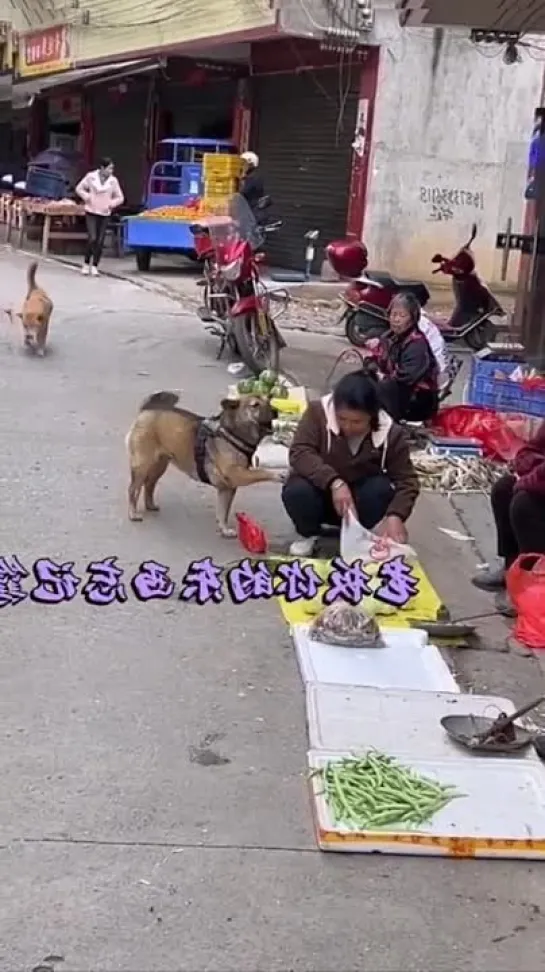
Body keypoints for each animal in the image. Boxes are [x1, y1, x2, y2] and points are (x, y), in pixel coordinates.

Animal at [126, 390, 282, 536]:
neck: (232, 433)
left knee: (149, 484)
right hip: (142, 465)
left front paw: (224, 528)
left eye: (268, 400)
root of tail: (146, 410)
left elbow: (223, 511)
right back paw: (132, 513)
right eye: (255, 405)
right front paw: (278, 474)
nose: (276, 411)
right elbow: (260, 472)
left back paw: (150, 505)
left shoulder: (228, 488)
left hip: (159, 465)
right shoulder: (237, 474)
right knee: (133, 489)